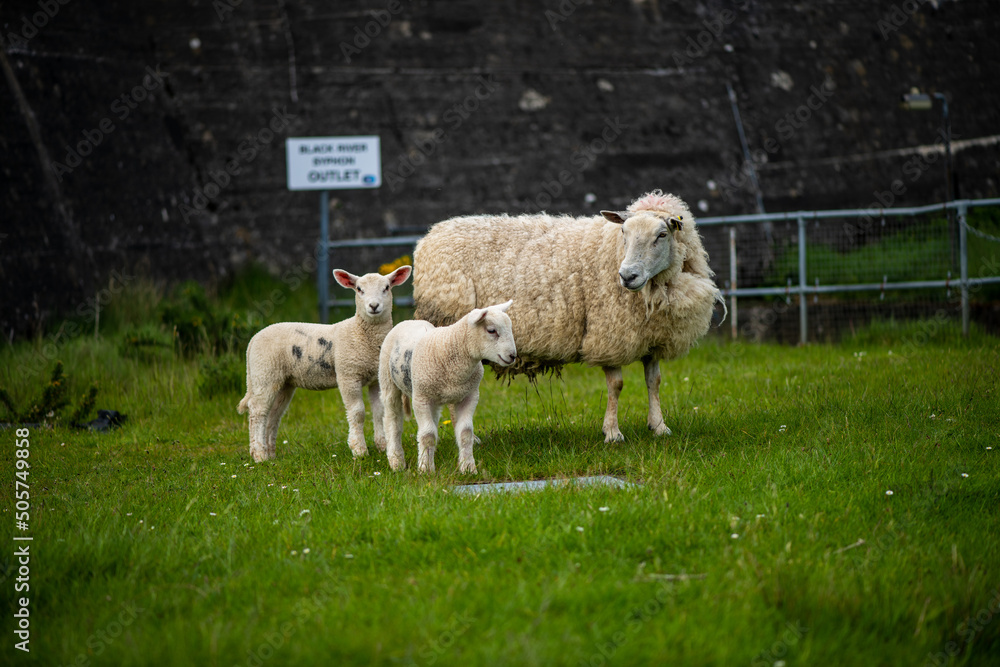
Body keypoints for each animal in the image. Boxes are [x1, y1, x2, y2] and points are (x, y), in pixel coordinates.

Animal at [237, 265, 411, 462]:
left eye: (387, 288)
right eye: (359, 289)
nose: (374, 306)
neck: (361, 333)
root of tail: (253, 340)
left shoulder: (375, 379)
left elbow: (378, 411)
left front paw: (381, 446)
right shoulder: (348, 374)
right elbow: (357, 412)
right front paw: (359, 450)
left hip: (282, 382)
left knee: (273, 414)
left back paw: (270, 454)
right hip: (265, 373)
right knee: (257, 411)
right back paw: (259, 455)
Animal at [379, 300, 516, 474]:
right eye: (491, 330)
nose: (513, 356)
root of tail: (408, 321)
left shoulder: (469, 396)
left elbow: (465, 433)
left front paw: (468, 467)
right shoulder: (421, 398)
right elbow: (427, 434)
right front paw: (425, 469)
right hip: (388, 380)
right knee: (392, 419)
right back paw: (396, 460)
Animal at [412, 190, 723, 443]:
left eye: (662, 235)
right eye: (624, 232)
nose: (627, 276)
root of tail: (430, 236)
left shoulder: (652, 337)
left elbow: (654, 382)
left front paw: (659, 427)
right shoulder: (607, 333)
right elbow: (616, 385)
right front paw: (612, 433)